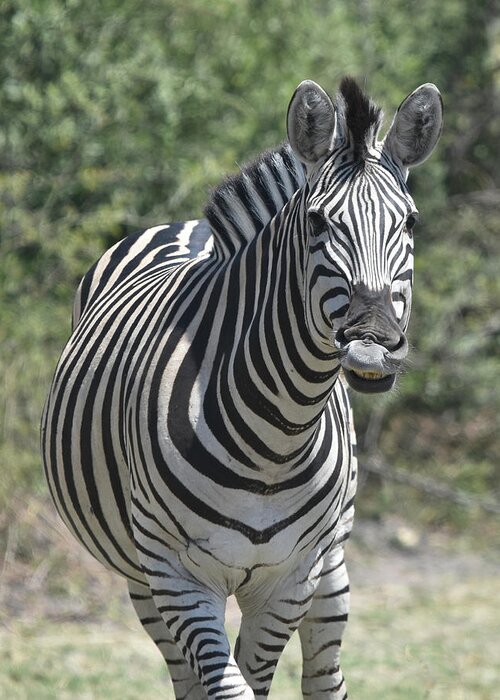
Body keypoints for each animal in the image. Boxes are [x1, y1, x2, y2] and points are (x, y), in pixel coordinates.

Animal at [42, 78, 442, 700]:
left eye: (412, 223)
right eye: (318, 223)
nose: (373, 346)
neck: (275, 437)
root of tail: (191, 226)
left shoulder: (291, 579)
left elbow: (258, 677)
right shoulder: (176, 575)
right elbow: (229, 688)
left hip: (332, 564)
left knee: (325, 676)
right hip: (141, 575)